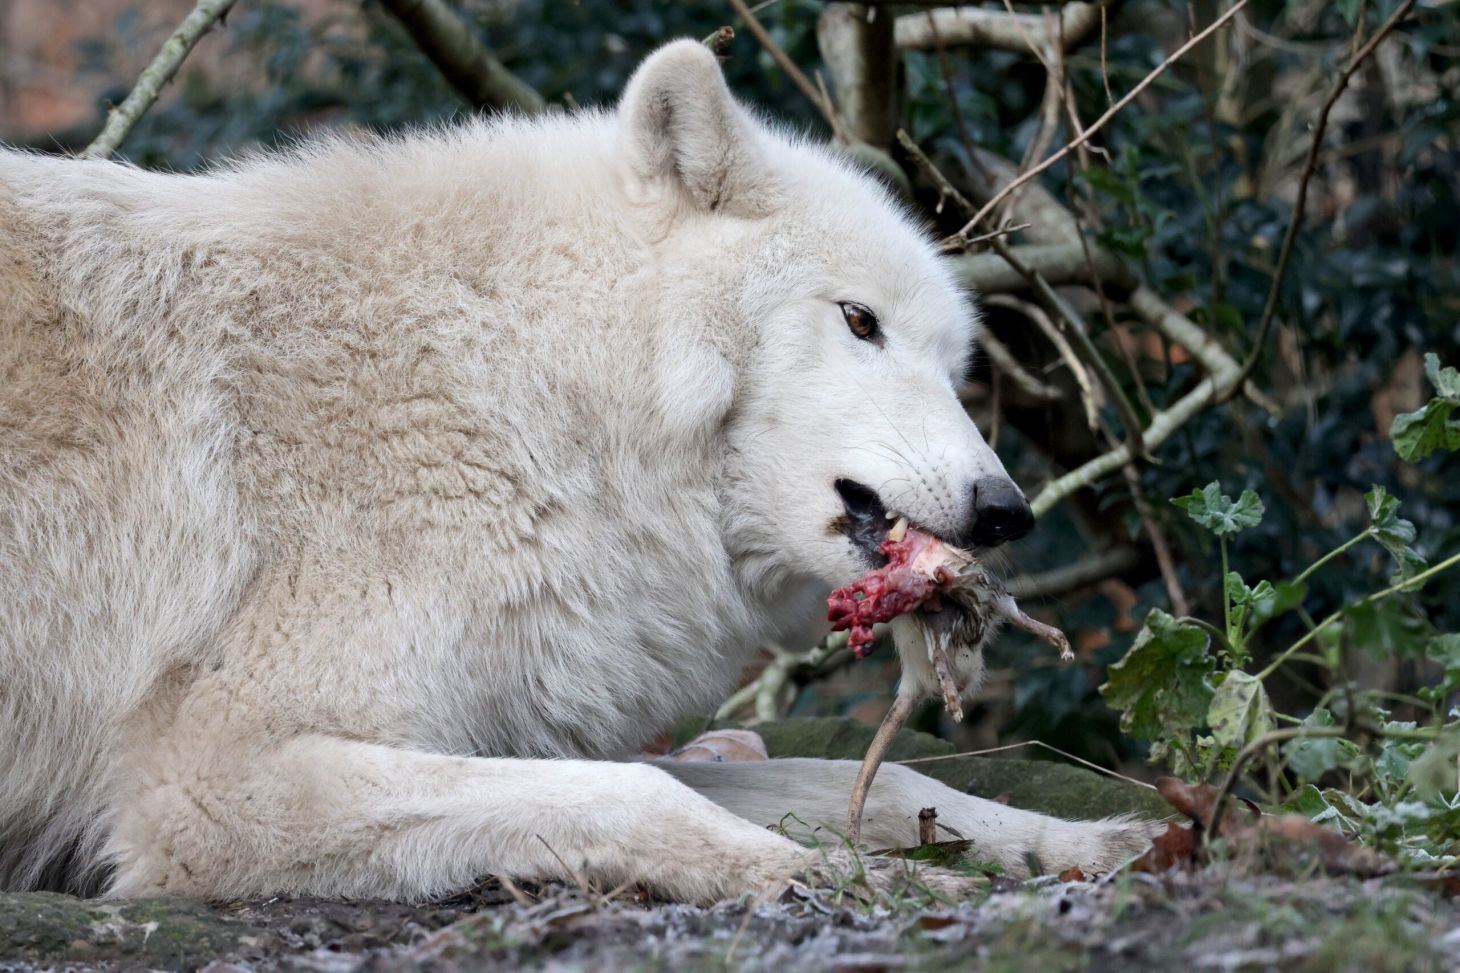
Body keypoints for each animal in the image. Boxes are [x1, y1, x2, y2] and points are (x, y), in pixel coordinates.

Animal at [0, 40, 1152, 901]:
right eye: (859, 320)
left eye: (957, 367)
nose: (1004, 511)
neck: (525, 383)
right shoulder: (211, 777)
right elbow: (650, 797)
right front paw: (832, 876)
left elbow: (863, 776)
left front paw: (1085, 843)